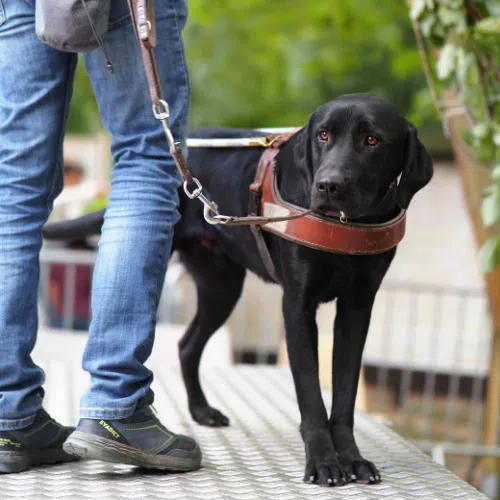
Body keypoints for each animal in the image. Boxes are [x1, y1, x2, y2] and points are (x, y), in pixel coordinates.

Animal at [44, 93, 434, 484]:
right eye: (323, 135)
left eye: (372, 140)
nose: (328, 185)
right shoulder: (297, 308)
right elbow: (311, 395)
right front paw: (323, 462)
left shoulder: (357, 309)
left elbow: (345, 394)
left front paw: (352, 459)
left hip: (223, 289)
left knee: (187, 345)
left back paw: (201, 411)